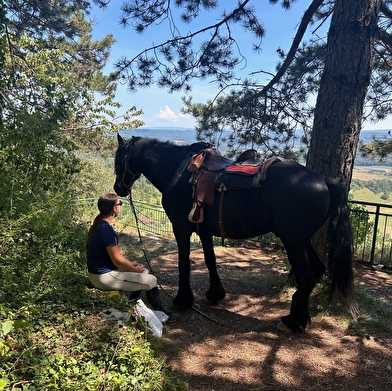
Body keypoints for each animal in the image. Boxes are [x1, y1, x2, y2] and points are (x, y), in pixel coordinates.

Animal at [113, 135, 358, 330]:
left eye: (118, 159)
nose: (118, 189)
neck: (179, 171)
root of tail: (323, 180)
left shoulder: (181, 228)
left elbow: (184, 262)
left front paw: (183, 299)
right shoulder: (204, 230)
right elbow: (210, 260)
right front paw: (215, 294)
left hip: (293, 242)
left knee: (306, 276)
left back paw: (291, 322)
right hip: (302, 240)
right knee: (317, 271)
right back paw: (301, 319)